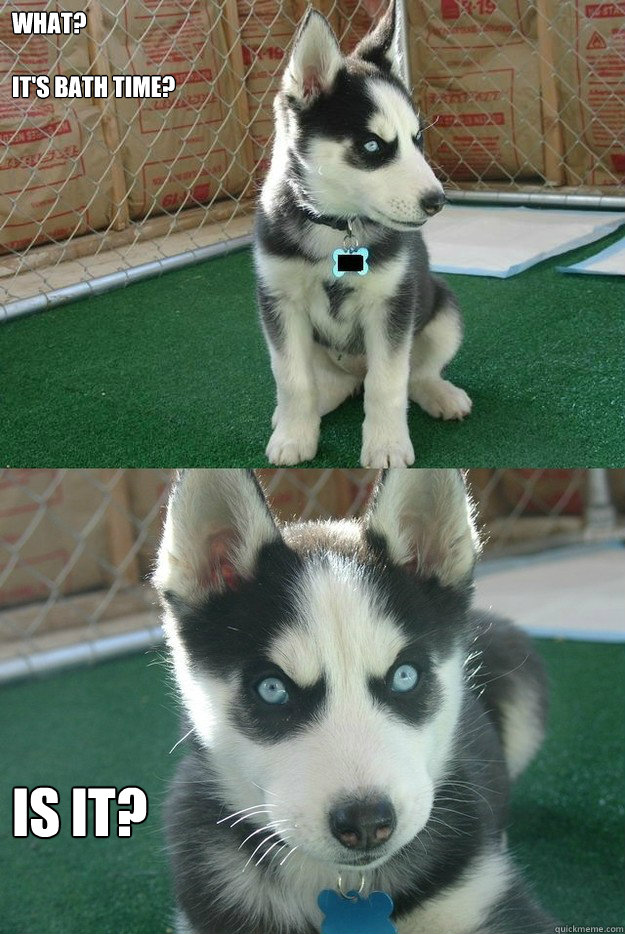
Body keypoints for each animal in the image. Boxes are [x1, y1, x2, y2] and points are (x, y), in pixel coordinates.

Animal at [252, 0, 468, 468]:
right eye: (372, 146)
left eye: (417, 139)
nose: (437, 201)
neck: (337, 225)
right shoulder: (280, 302)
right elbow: (292, 378)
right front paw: (294, 435)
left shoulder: (391, 305)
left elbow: (387, 384)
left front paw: (386, 445)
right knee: (330, 384)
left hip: (443, 310)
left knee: (412, 375)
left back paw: (439, 393)